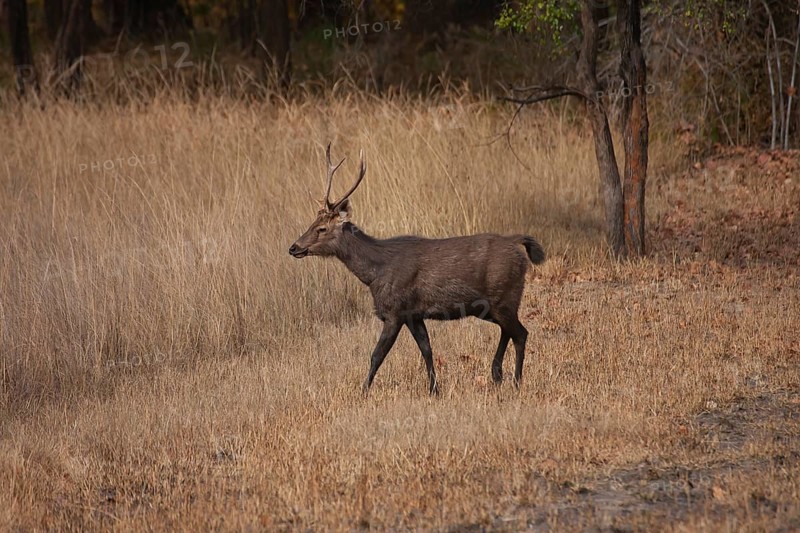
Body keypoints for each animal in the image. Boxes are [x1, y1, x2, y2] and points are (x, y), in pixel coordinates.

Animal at [289, 144, 545, 395]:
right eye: (312, 223)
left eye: (321, 228)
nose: (294, 247)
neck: (374, 272)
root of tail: (516, 243)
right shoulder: (414, 314)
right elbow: (426, 350)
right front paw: (434, 390)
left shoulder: (395, 311)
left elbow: (376, 355)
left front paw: (362, 392)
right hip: (490, 306)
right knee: (509, 331)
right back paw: (497, 374)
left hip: (505, 295)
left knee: (521, 333)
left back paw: (516, 382)